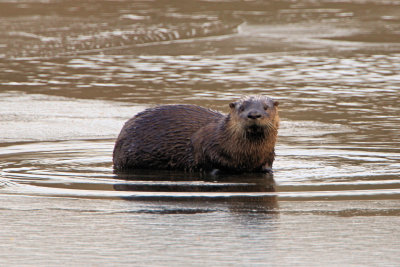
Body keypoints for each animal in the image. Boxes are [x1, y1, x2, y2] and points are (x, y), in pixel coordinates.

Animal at [112, 96, 280, 174]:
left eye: (266, 107)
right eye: (242, 108)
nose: (254, 114)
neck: (248, 154)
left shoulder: (268, 154)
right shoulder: (207, 147)